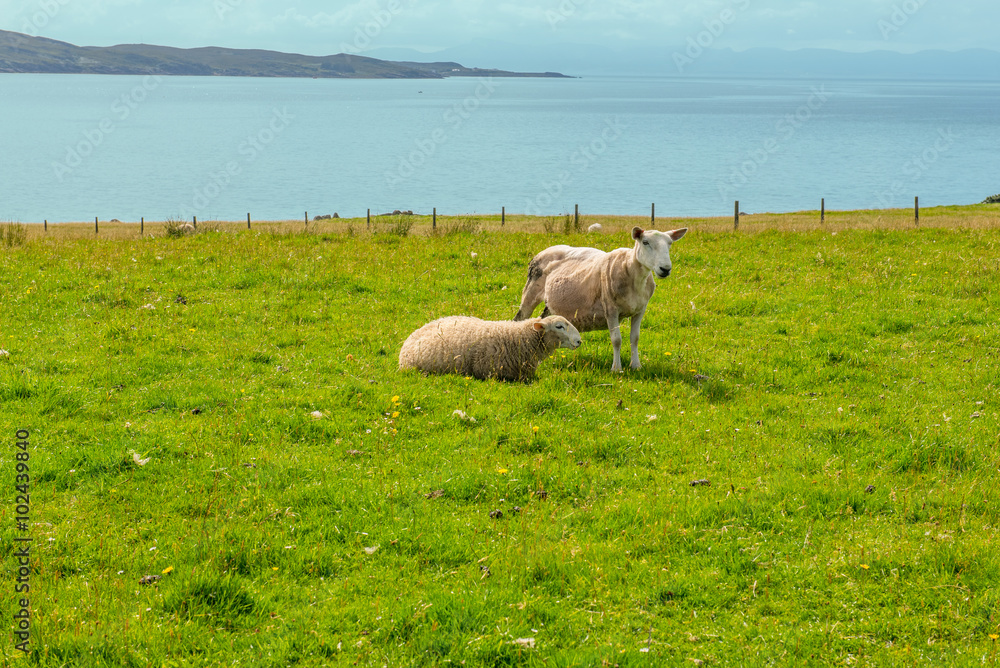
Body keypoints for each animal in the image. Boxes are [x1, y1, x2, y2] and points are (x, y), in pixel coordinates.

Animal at [514, 226, 687, 372]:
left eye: (670, 244)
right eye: (645, 242)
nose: (665, 269)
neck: (632, 272)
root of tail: (546, 250)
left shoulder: (640, 310)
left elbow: (635, 338)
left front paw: (636, 366)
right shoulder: (611, 309)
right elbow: (616, 340)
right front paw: (616, 369)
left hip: (551, 304)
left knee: (544, 319)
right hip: (531, 291)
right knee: (520, 318)